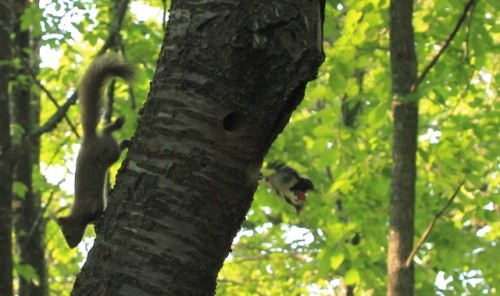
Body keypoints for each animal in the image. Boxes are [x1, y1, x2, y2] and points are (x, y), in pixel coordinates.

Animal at [57, 54, 135, 249]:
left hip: (108, 154)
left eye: (68, 234)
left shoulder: (91, 206)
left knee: (110, 140)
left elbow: (97, 213)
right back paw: (120, 130)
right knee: (107, 132)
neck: (78, 214)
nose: (71, 246)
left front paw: (99, 222)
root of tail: (88, 140)